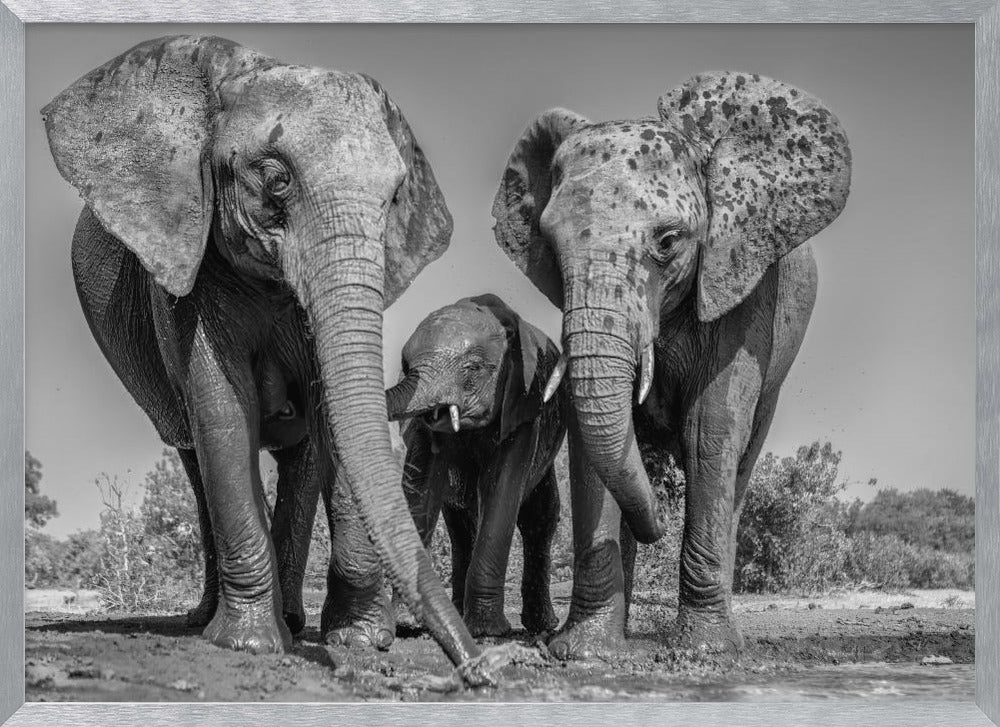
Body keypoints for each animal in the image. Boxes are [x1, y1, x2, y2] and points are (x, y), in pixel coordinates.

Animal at [42, 35, 489, 680]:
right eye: (275, 179)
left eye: (394, 197)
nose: (483, 669)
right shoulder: (186, 267)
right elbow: (224, 413)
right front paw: (247, 645)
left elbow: (330, 416)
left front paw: (360, 641)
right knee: (194, 455)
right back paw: (210, 621)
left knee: (301, 458)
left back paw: (295, 622)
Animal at [384, 294, 566, 637]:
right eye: (405, 367)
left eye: (473, 368)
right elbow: (422, 492)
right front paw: (406, 624)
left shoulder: (522, 407)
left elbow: (500, 492)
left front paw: (488, 631)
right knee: (460, 526)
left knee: (540, 516)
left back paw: (543, 627)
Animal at [492, 71, 851, 659]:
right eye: (550, 244)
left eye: (668, 242)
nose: (656, 525)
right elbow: (590, 440)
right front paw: (585, 651)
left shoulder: (744, 285)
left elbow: (711, 429)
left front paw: (707, 651)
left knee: (740, 464)